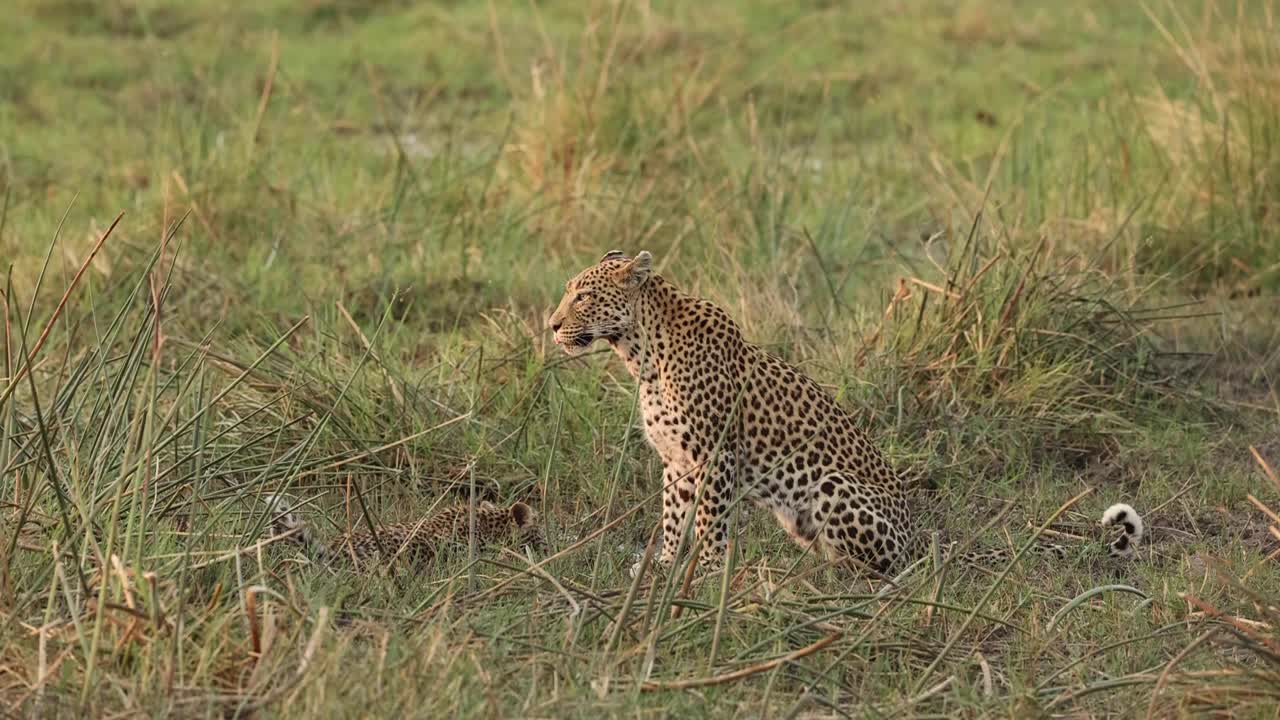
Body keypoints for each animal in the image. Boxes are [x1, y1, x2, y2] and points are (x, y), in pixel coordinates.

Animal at [547, 250, 1145, 578]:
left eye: (582, 297)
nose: (551, 325)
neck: (640, 353)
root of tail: (918, 536)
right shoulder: (676, 463)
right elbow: (673, 519)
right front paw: (665, 567)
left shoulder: (715, 459)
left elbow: (710, 524)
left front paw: (709, 574)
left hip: (832, 485)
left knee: (879, 569)